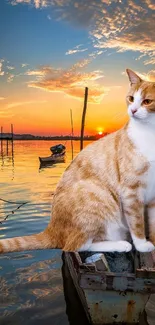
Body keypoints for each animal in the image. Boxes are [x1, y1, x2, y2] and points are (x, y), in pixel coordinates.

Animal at [0, 67, 155, 253]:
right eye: (131, 98)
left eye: (147, 101)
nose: (132, 110)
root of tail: (51, 229)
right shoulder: (131, 191)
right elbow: (137, 222)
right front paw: (142, 245)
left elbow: (152, 222)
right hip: (95, 194)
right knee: (74, 246)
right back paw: (120, 244)